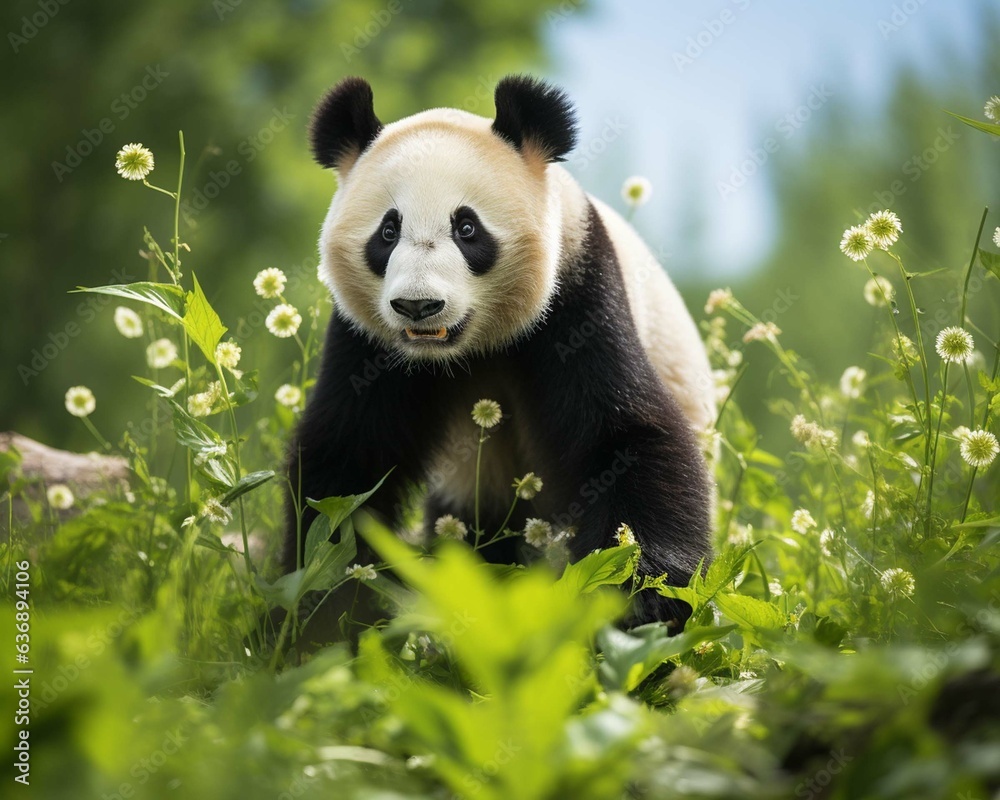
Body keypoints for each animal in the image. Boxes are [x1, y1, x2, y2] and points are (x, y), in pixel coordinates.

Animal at [284, 75, 715, 628]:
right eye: (388, 230)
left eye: (467, 228)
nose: (418, 305)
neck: (470, 347)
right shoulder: (367, 342)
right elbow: (346, 464)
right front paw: (320, 614)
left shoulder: (578, 297)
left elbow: (626, 436)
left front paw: (639, 605)